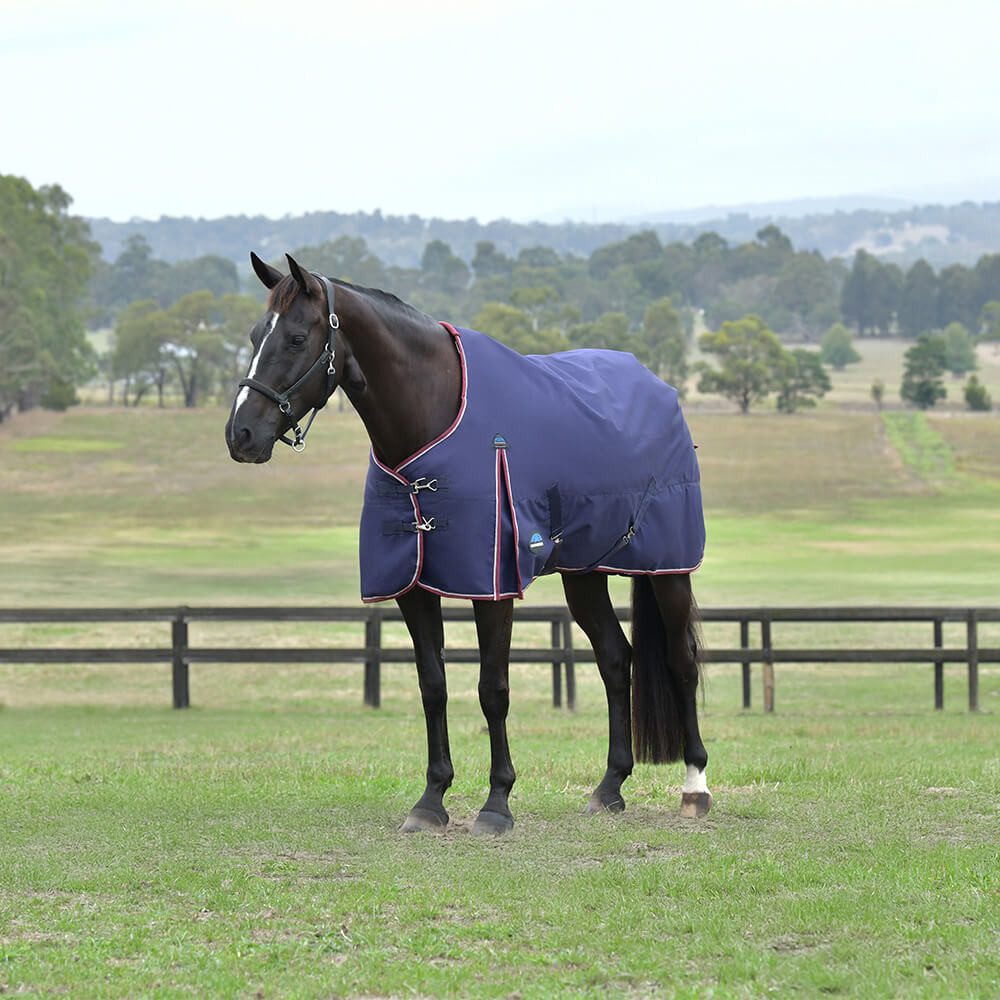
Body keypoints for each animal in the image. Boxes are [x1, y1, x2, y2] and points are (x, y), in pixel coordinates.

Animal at [225, 252, 711, 835]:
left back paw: (695, 788)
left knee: (682, 661)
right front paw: (431, 800)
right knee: (616, 660)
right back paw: (609, 787)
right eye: (256, 335)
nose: (240, 435)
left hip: (668, 569)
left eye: (297, 338)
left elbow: (492, 690)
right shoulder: (412, 587)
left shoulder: (492, 586)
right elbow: (433, 685)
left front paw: (496, 803)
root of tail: (658, 389)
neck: (430, 423)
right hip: (584, 574)